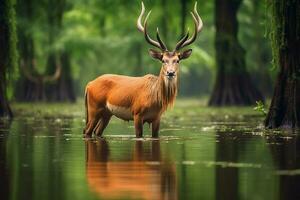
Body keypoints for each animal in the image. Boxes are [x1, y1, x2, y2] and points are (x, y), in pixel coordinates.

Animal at [83, 1, 203, 138]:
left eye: (177, 60)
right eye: (163, 60)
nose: (170, 73)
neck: (155, 99)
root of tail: (89, 84)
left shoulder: (157, 118)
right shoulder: (137, 114)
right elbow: (139, 135)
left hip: (107, 113)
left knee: (97, 132)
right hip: (94, 108)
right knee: (87, 131)